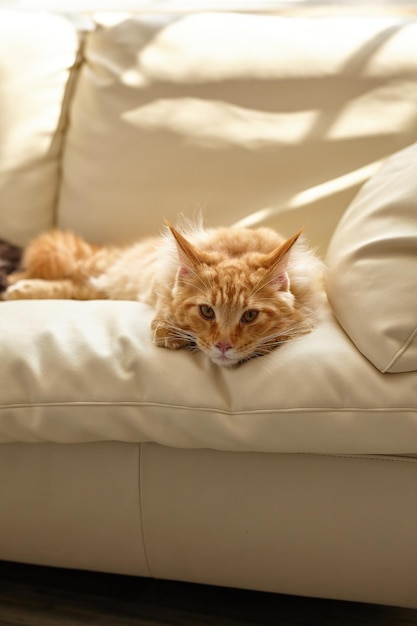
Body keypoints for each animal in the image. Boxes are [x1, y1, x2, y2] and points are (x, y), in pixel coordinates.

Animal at [3, 222, 324, 366]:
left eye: (250, 316)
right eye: (207, 311)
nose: (222, 346)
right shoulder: (162, 280)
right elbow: (165, 307)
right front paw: (169, 332)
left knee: (75, 285)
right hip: (106, 273)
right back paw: (15, 285)